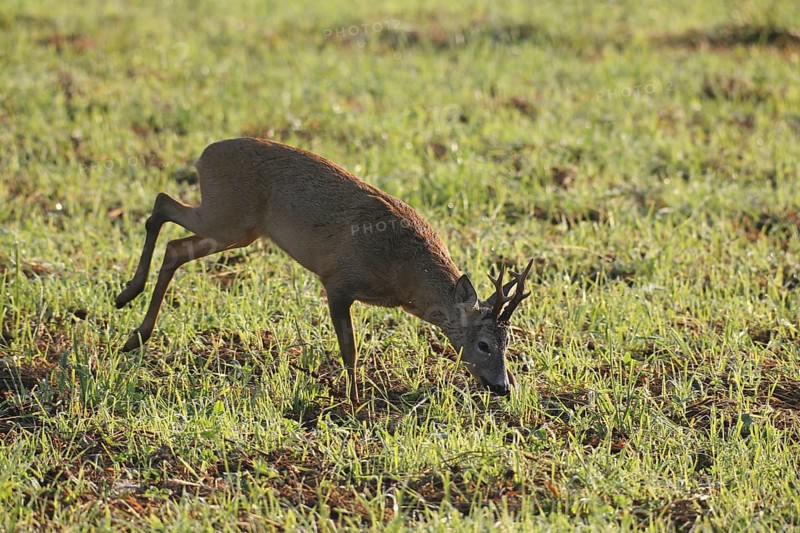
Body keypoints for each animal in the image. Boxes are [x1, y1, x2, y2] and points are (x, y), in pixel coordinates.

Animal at [115, 137, 533, 404]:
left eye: (509, 343)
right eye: (483, 344)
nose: (503, 387)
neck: (404, 273)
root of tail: (204, 155)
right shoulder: (338, 281)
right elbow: (350, 349)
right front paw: (355, 404)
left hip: (239, 230)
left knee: (174, 246)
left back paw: (134, 329)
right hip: (227, 217)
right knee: (163, 204)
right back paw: (127, 300)